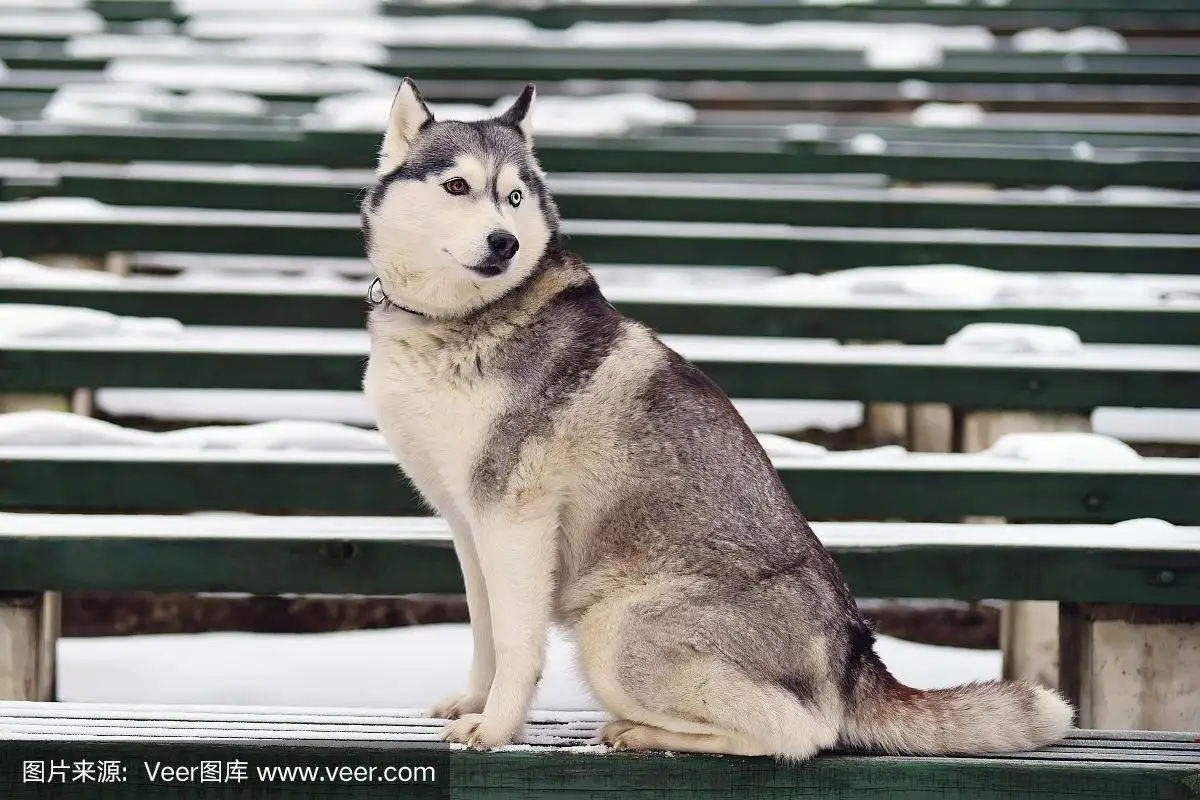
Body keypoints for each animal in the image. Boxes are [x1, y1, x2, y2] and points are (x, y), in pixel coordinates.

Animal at [360, 77, 1075, 762]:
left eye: (512, 197)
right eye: (457, 186)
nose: (504, 242)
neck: (463, 319)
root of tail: (853, 656)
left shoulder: (514, 519)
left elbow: (515, 643)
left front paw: (497, 728)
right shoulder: (468, 522)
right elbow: (485, 630)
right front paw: (472, 704)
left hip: (613, 628)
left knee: (799, 733)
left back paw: (642, 732)